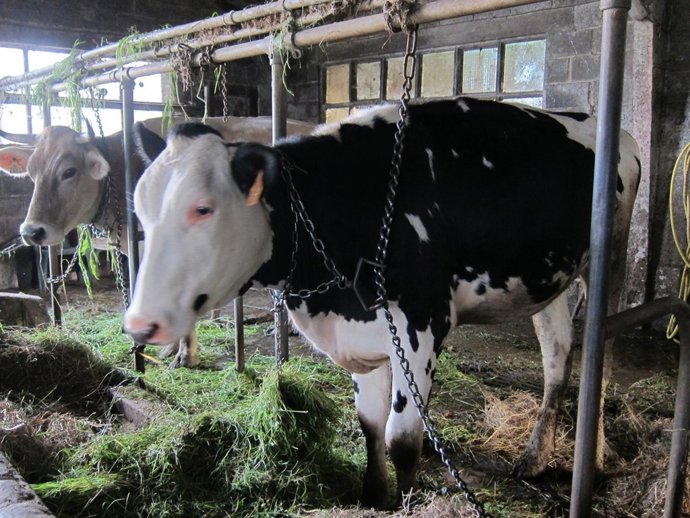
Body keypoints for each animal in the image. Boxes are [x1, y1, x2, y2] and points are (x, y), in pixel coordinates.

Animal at [123, 97, 640, 507]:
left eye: (202, 208)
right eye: (141, 210)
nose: (138, 324)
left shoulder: (421, 326)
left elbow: (403, 441)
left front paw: (407, 500)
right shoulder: (361, 333)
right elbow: (370, 426)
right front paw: (373, 496)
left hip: (610, 257)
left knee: (603, 355)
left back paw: (595, 458)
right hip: (547, 278)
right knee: (557, 355)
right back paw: (535, 457)